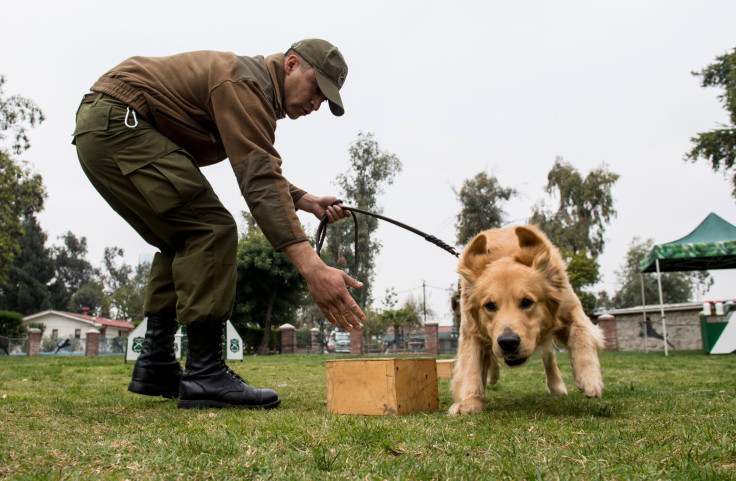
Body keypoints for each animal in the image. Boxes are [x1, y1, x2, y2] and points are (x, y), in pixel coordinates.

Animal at [448, 223, 604, 414]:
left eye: (526, 302)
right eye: (490, 305)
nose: (508, 342)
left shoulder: (570, 309)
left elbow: (581, 336)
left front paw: (588, 379)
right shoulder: (470, 329)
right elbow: (472, 365)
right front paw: (471, 400)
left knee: (549, 356)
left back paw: (556, 385)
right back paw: (493, 374)